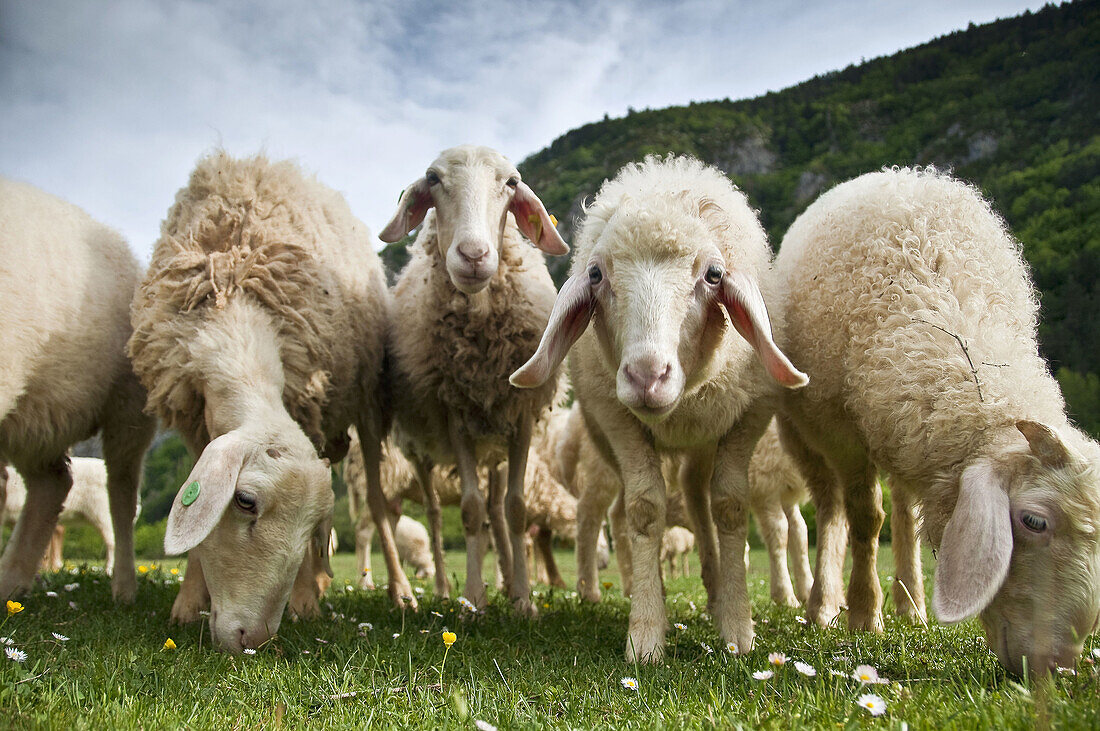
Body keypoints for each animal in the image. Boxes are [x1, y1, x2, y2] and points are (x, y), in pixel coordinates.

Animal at [0, 179, 156, 602]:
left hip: (126, 406)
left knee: (121, 494)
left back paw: (124, 587)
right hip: (38, 412)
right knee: (53, 484)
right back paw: (12, 582)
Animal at [126, 152, 407, 650]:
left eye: (310, 524)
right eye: (244, 501)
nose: (252, 638)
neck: (231, 297)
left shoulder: (308, 401)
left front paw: (305, 602)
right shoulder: (194, 416)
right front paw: (186, 604)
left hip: (369, 400)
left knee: (377, 502)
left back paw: (392, 592)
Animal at [378, 142, 567, 611]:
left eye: (512, 182)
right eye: (433, 179)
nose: (474, 256)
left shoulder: (520, 416)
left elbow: (514, 509)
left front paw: (523, 600)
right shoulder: (455, 416)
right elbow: (468, 510)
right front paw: (472, 601)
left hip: (495, 442)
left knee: (497, 509)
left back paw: (506, 582)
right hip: (418, 452)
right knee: (433, 511)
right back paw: (444, 588)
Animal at [512, 154, 809, 659]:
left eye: (714, 275)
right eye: (596, 274)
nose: (646, 377)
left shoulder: (750, 415)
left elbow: (730, 506)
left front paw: (738, 627)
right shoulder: (616, 416)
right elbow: (644, 509)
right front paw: (647, 633)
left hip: (707, 433)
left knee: (696, 495)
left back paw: (715, 590)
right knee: (619, 513)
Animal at [774, 164, 1100, 672]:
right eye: (1034, 522)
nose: (1059, 664)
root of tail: (889, 174)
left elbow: (892, 516)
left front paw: (887, 607)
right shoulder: (843, 433)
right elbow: (865, 517)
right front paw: (864, 615)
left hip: (902, 428)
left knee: (906, 512)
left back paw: (911, 603)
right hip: (807, 433)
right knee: (831, 508)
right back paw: (824, 604)